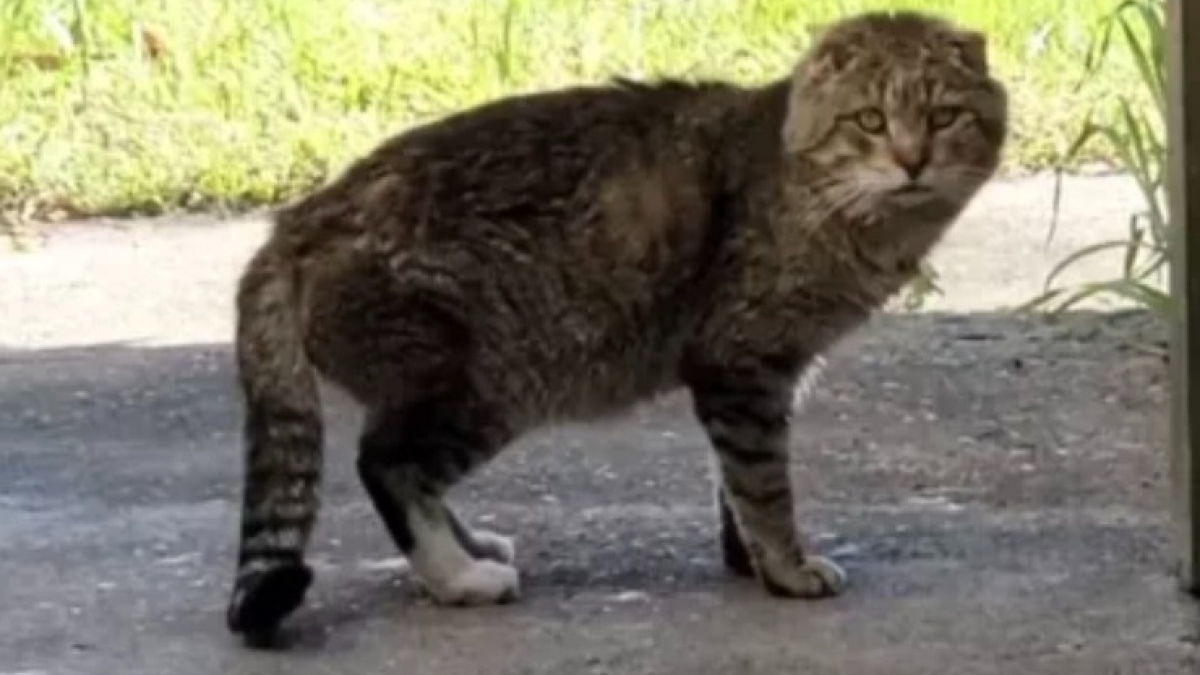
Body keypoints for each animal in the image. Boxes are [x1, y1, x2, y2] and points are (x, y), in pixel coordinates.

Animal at [223, 9, 1003, 638]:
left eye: (943, 118)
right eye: (870, 121)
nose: (912, 161)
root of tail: (294, 224)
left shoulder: (763, 376)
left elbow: (733, 482)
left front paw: (746, 559)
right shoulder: (742, 363)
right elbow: (762, 485)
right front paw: (785, 568)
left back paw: (470, 550)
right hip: (483, 382)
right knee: (387, 465)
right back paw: (458, 577)